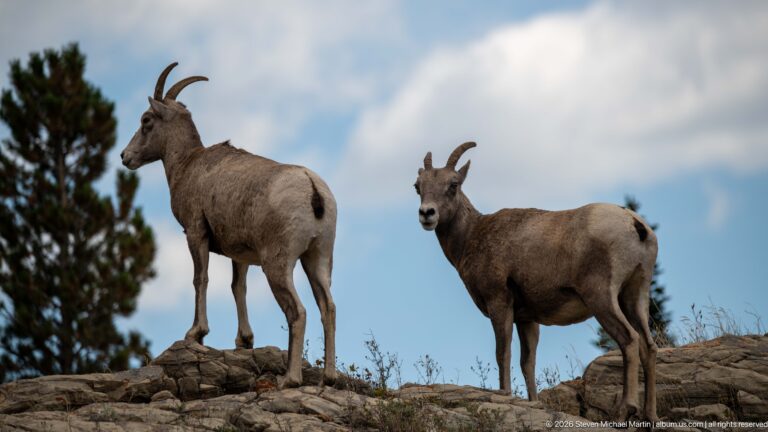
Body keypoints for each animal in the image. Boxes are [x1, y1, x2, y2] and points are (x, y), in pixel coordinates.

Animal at [120, 63, 337, 388]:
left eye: (146, 120)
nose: (125, 157)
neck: (187, 165)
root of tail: (312, 188)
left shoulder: (196, 233)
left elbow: (201, 279)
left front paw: (196, 333)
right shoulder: (240, 253)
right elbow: (238, 287)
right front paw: (244, 341)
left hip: (278, 265)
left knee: (298, 312)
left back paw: (289, 379)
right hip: (317, 259)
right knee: (328, 308)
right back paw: (330, 378)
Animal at [414, 142, 658, 421]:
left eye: (453, 184)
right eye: (418, 186)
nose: (427, 214)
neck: (472, 236)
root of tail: (636, 226)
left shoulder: (500, 303)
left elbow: (503, 353)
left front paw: (505, 394)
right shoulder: (527, 319)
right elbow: (527, 363)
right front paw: (533, 403)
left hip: (602, 298)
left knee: (630, 340)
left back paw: (625, 408)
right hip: (635, 295)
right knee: (648, 346)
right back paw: (651, 416)